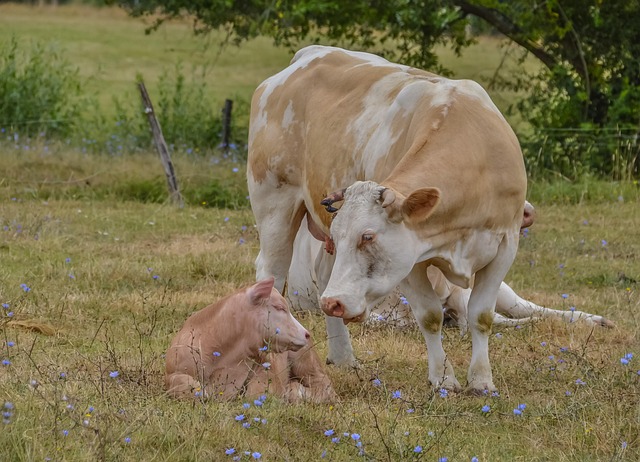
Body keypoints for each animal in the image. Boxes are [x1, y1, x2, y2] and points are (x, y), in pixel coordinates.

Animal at [165, 278, 336, 403]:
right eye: (279, 307)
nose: (306, 334)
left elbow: (256, 393)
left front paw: (289, 392)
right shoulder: (173, 371)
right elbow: (182, 383)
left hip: (306, 362)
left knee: (325, 385)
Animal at [247, 45, 528, 394]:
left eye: (368, 236)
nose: (334, 303)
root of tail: (311, 53)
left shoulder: (505, 246)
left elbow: (481, 316)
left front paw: (481, 381)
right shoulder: (411, 262)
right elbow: (430, 316)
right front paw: (443, 379)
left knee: (324, 276)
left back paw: (343, 356)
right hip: (275, 203)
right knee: (271, 272)